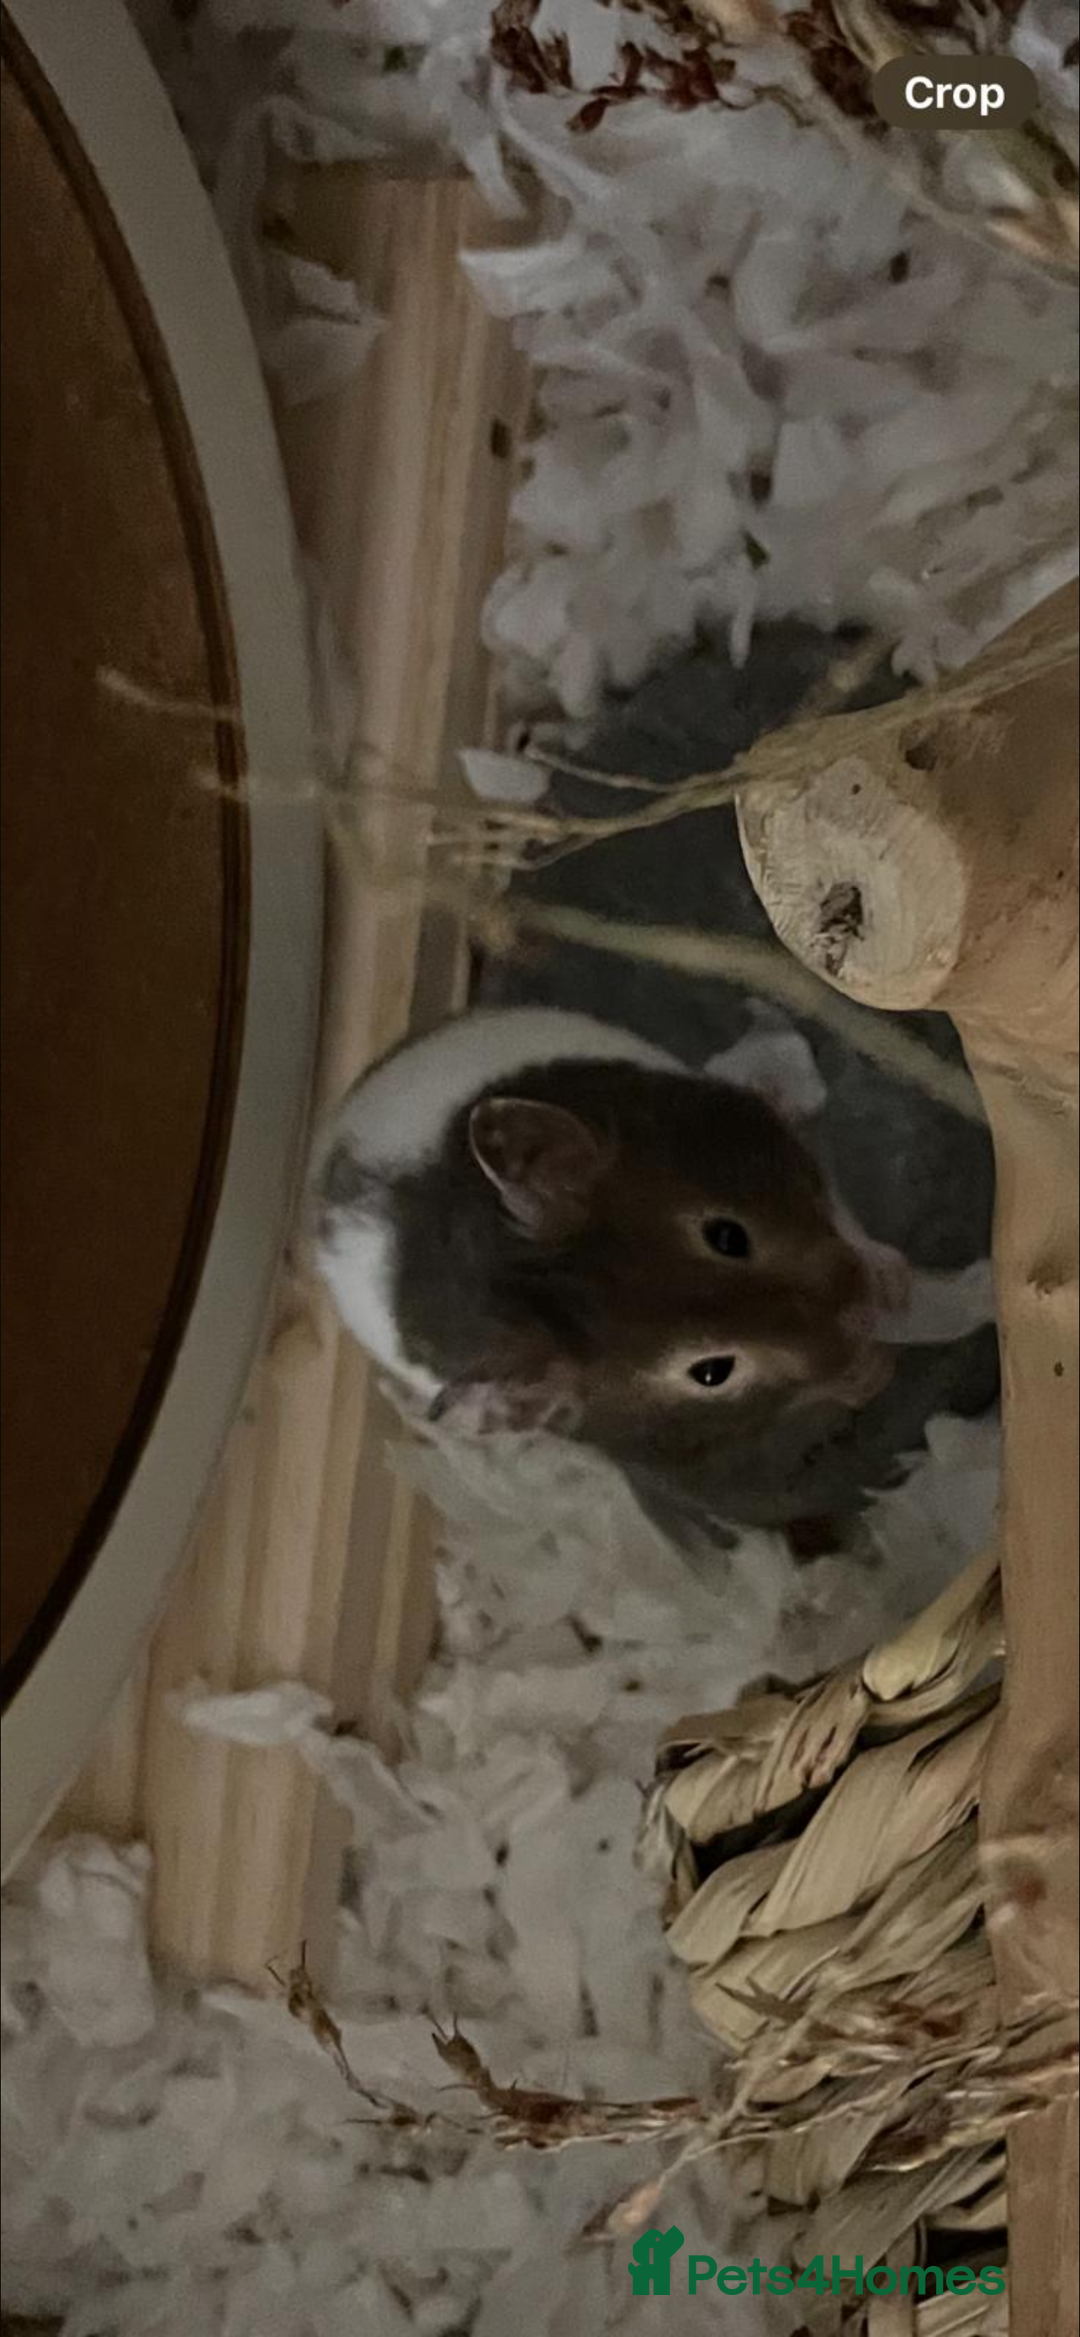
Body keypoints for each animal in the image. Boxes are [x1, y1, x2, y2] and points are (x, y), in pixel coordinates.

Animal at [313, 1007, 991, 1478]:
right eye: (712, 1373)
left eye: (727, 1236)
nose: (857, 1317)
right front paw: (872, 1367)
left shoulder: (768, 1145)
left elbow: (845, 1217)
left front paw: (893, 1285)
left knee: (773, 1074)